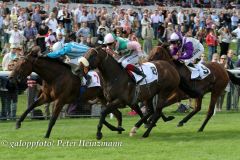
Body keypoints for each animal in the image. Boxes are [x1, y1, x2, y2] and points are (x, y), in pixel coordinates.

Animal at [8, 47, 144, 138]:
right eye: (16, 62)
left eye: (22, 63)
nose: (11, 77)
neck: (55, 76)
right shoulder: (46, 97)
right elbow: (31, 106)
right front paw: (18, 123)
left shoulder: (60, 100)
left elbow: (53, 118)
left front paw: (46, 135)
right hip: (104, 99)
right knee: (117, 114)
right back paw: (118, 129)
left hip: (110, 99)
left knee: (115, 113)